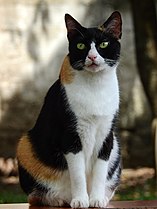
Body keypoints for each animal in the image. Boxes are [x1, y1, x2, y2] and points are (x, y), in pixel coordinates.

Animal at [17, 11, 122, 207]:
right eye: (81, 45)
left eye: (103, 44)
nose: (92, 57)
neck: (95, 86)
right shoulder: (70, 135)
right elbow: (78, 173)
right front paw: (80, 200)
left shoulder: (106, 133)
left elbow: (100, 170)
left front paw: (96, 199)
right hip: (24, 145)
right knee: (36, 195)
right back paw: (57, 199)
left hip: (116, 146)